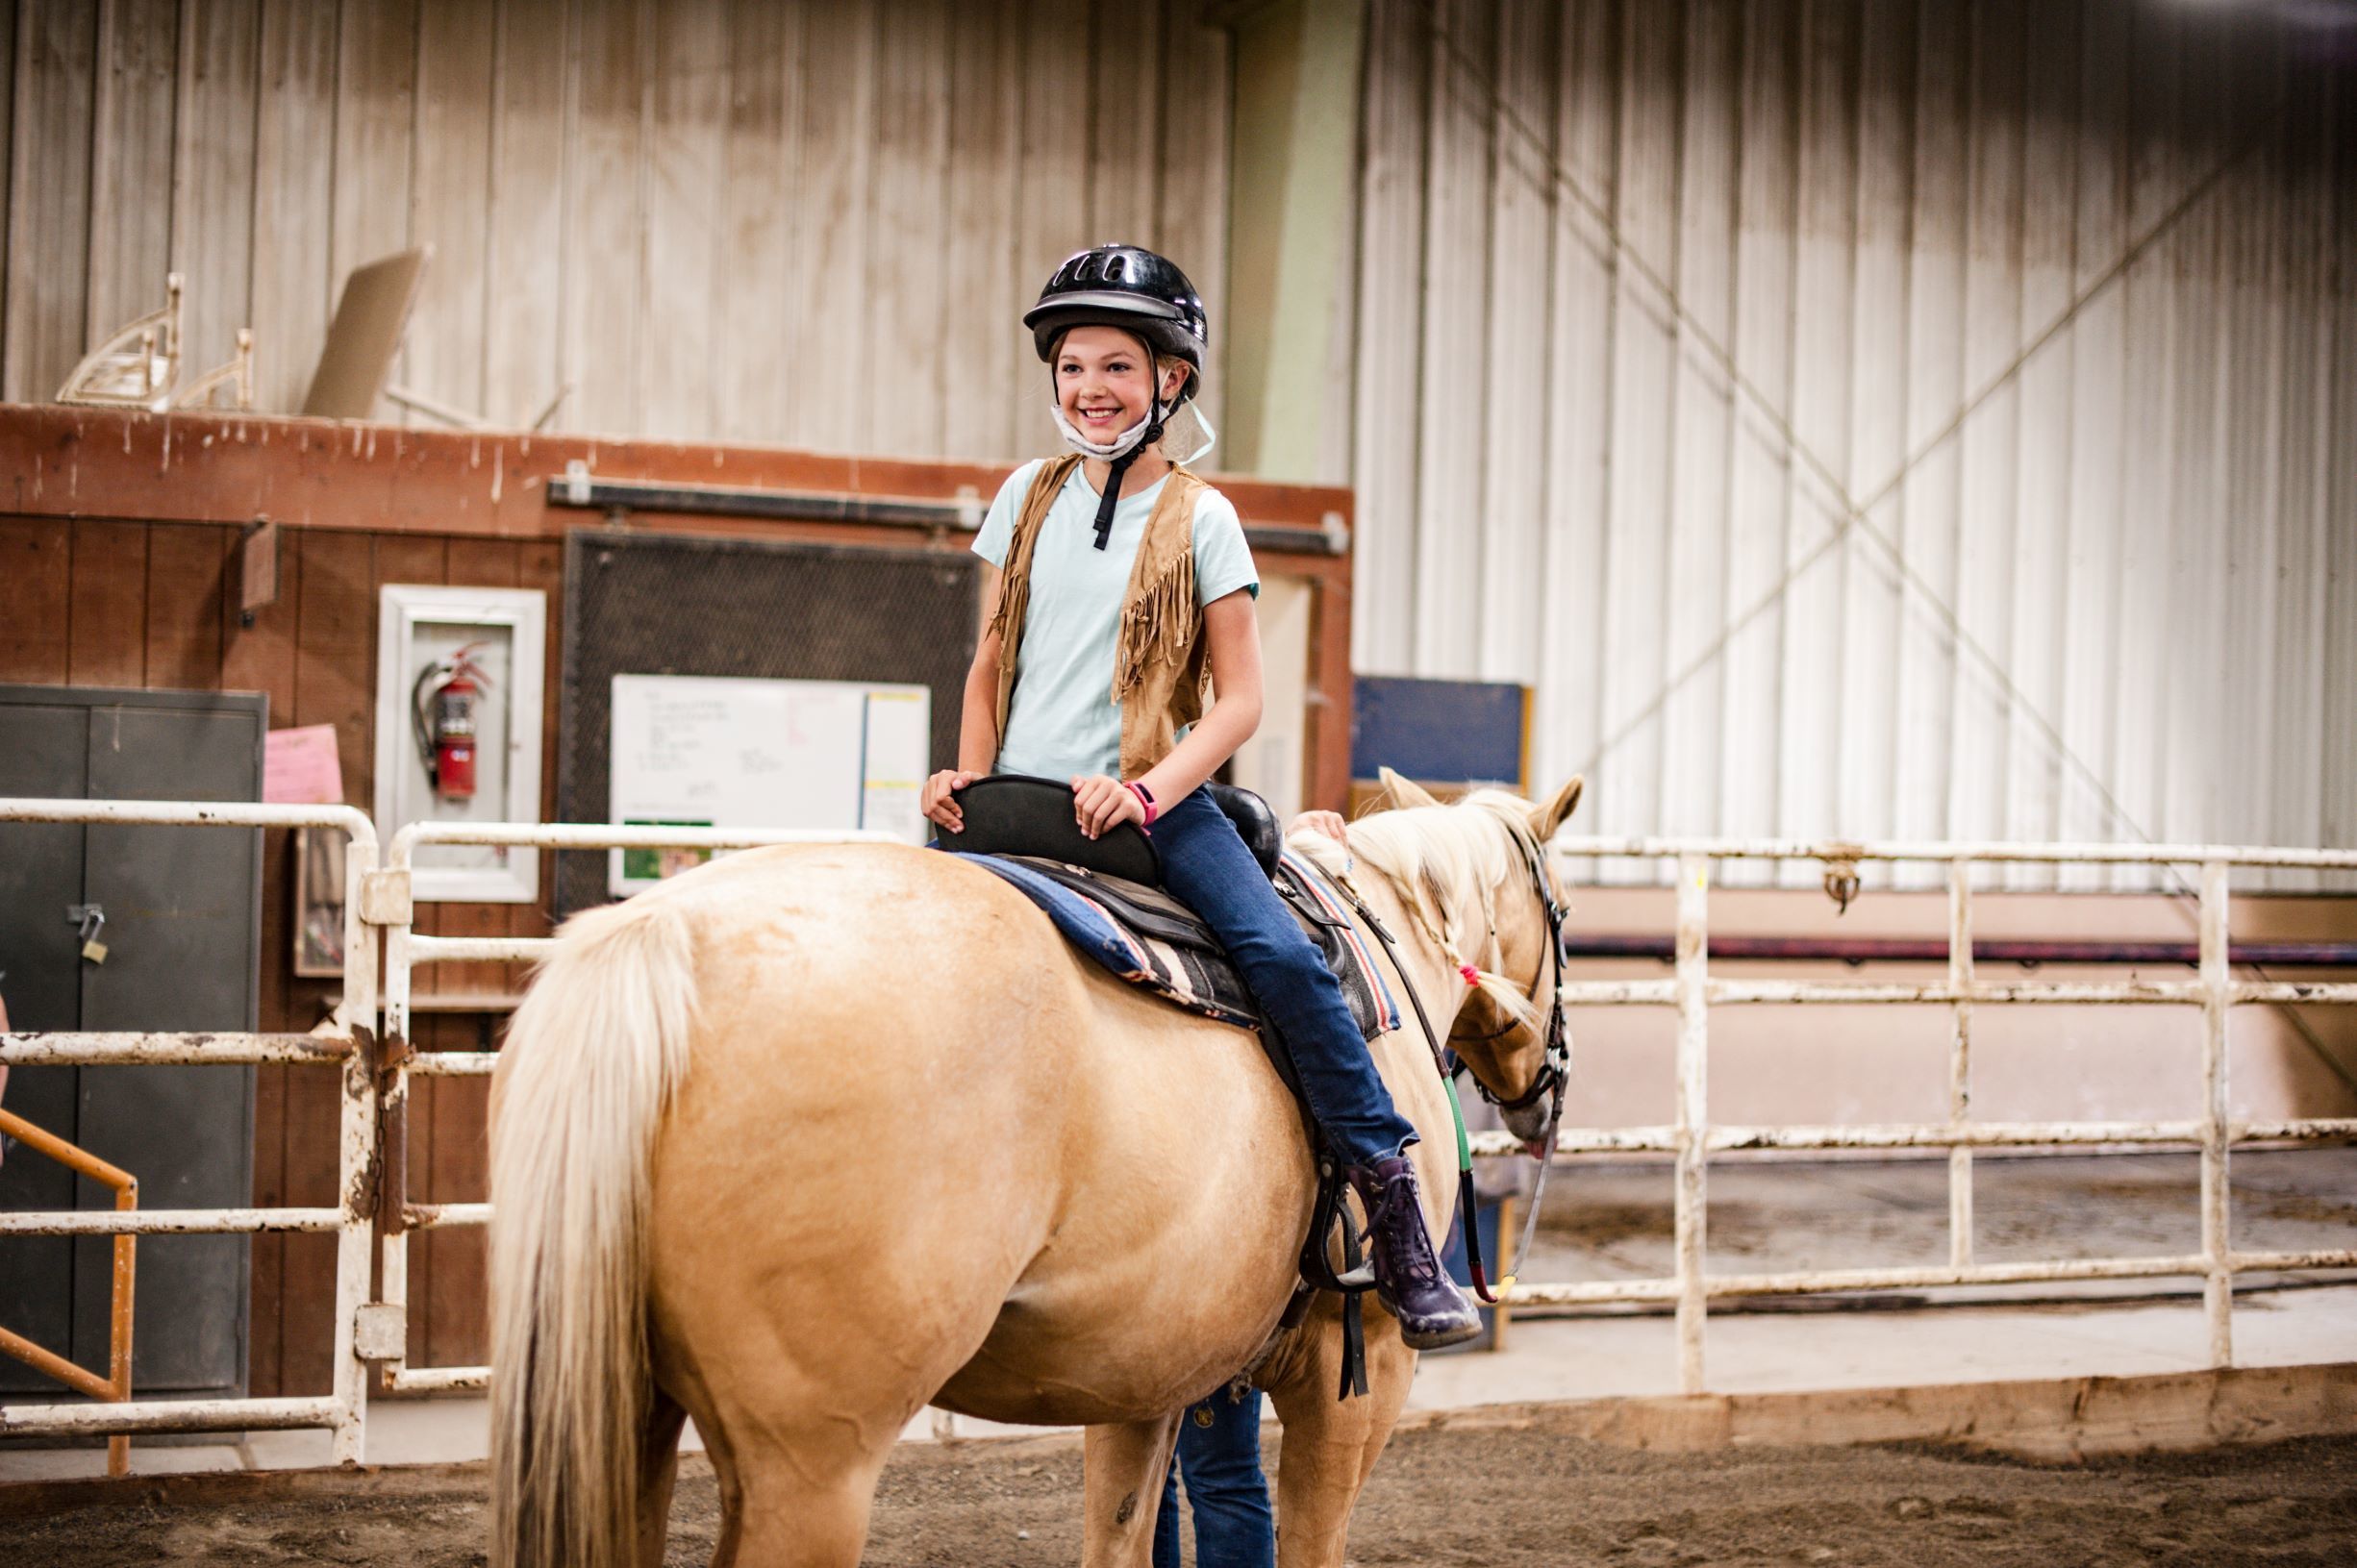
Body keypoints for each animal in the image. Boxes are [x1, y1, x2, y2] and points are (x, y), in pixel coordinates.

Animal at [485, 768, 1574, 1565]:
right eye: (1562, 913)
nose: (1541, 1086)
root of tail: (663, 935)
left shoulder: (1149, 1377)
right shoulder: (1360, 1377)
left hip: (628, 1416)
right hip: (810, 1465)